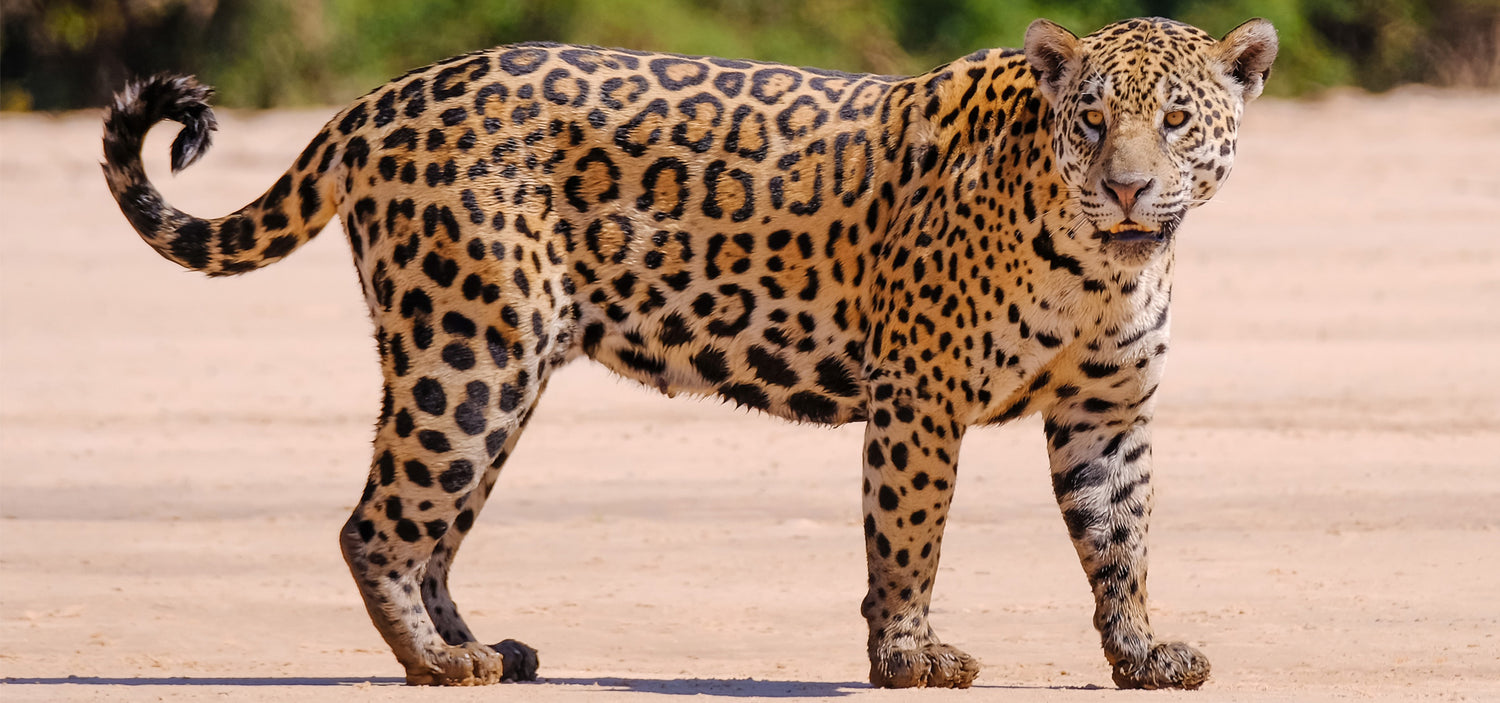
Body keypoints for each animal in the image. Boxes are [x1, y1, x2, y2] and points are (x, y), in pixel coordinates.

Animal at [102, 16, 1277, 689]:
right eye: (1092, 121)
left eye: (1178, 121)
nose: (1127, 186)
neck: (1102, 258)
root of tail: (383, 98)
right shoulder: (919, 400)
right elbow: (909, 538)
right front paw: (908, 657)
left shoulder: (1107, 412)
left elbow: (1119, 540)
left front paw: (1141, 653)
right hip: (468, 351)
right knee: (377, 524)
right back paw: (438, 663)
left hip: (502, 368)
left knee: (435, 529)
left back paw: (487, 647)